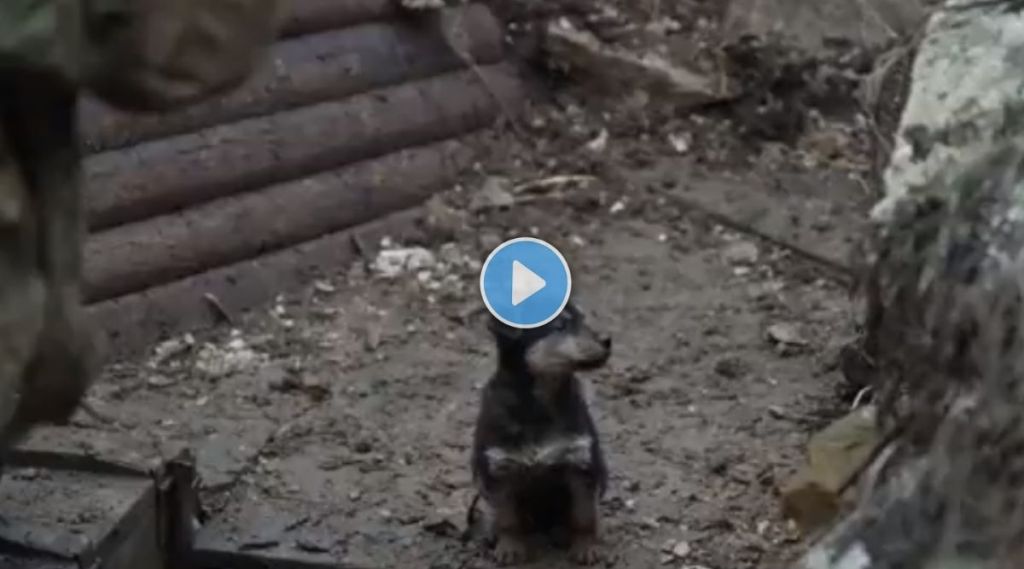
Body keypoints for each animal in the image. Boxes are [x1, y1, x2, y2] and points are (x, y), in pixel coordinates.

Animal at [468, 302, 606, 564]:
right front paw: (509, 548)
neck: (538, 404)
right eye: (560, 325)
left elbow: (583, 515)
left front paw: (585, 548)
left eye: (584, 318)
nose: (607, 339)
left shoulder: (580, 462)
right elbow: (507, 518)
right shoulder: (499, 468)